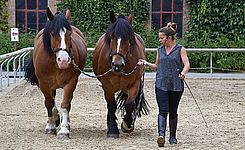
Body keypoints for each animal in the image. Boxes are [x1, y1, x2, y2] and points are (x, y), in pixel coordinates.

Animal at [24, 7, 87, 138]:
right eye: (53, 33)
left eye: (69, 34)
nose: (63, 60)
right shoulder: (44, 84)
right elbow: (49, 103)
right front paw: (51, 126)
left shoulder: (71, 83)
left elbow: (65, 104)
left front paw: (64, 130)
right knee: (51, 101)